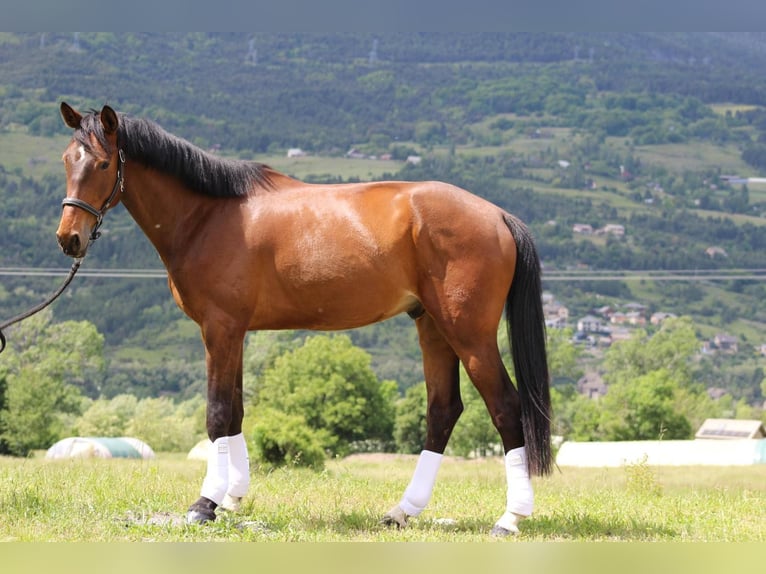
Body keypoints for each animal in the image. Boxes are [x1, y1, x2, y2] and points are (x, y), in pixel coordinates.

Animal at [55, 103, 552, 536]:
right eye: (66, 160)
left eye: (103, 164)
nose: (69, 239)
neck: (207, 216)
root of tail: (498, 216)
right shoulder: (236, 333)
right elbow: (236, 411)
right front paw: (233, 498)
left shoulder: (219, 329)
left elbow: (217, 414)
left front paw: (205, 504)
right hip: (431, 327)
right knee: (443, 412)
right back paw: (402, 511)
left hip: (470, 335)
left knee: (506, 409)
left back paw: (510, 518)